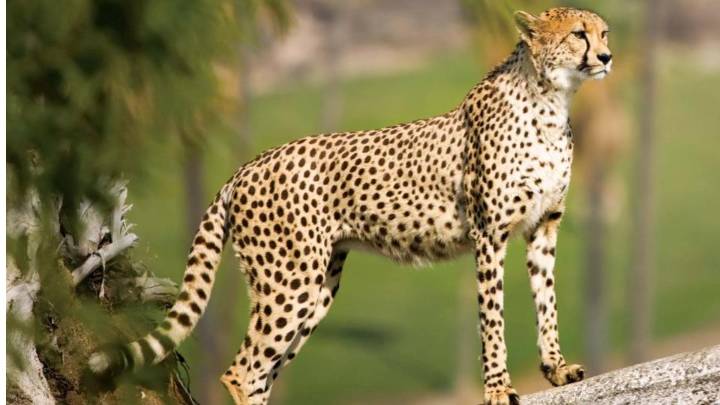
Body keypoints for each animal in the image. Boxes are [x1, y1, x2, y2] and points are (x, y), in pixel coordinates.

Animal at [88, 7, 612, 405]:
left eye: (603, 31)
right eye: (578, 34)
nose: (607, 56)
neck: (551, 100)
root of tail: (246, 165)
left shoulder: (543, 228)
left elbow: (546, 302)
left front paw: (556, 368)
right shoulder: (490, 235)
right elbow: (493, 318)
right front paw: (499, 388)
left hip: (317, 287)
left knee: (261, 371)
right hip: (289, 282)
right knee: (242, 371)